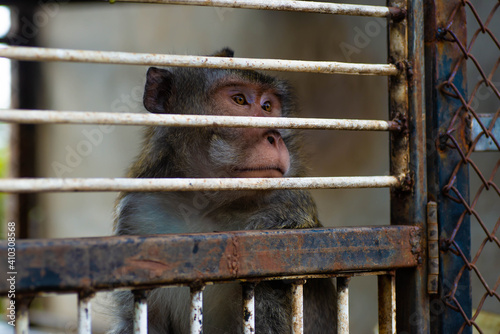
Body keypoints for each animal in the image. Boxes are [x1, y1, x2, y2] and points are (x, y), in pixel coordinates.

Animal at [110, 47, 336, 334]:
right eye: (239, 100)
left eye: (267, 107)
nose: (274, 136)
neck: (207, 206)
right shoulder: (140, 213)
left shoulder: (285, 213)